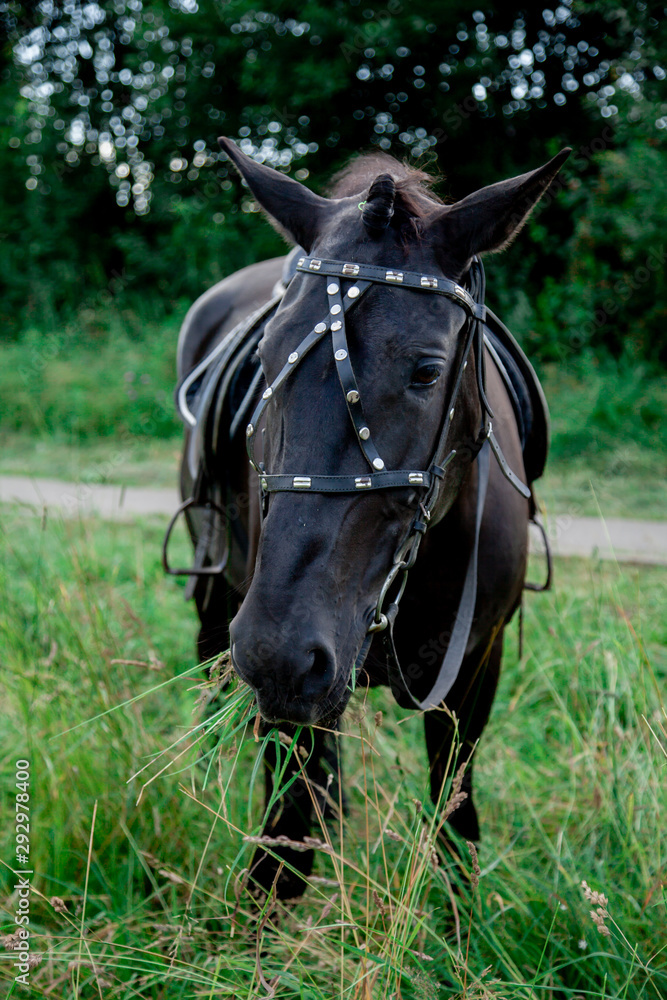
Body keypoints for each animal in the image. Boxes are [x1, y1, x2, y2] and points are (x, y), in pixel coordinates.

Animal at [166, 139, 569, 899]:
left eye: (427, 370)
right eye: (267, 358)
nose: (277, 651)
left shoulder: (477, 668)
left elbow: (454, 822)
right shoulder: (290, 694)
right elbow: (284, 846)